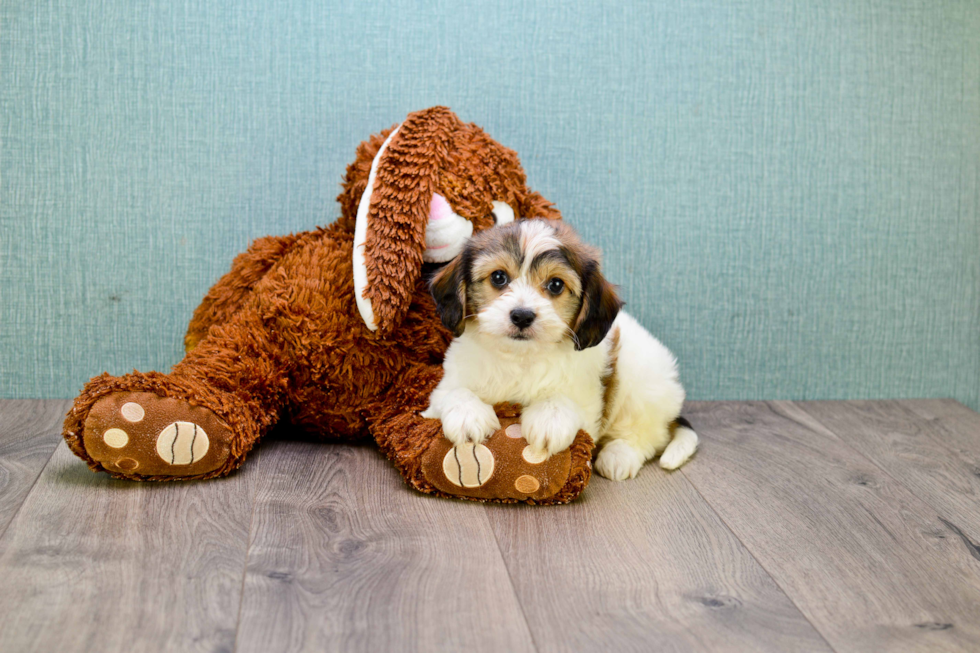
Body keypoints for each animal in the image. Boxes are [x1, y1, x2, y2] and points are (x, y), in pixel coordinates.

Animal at [422, 219, 696, 478]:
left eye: (555, 285)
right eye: (498, 277)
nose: (522, 316)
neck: (520, 358)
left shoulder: (588, 404)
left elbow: (564, 401)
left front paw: (549, 419)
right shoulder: (443, 389)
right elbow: (453, 392)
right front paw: (468, 415)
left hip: (641, 383)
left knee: (647, 435)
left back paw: (619, 456)